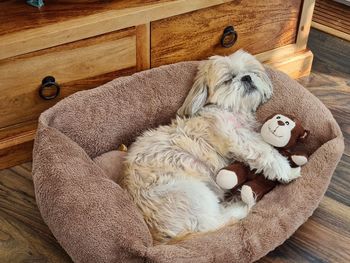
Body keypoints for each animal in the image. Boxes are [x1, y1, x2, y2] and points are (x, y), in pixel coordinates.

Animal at [120, 49, 300, 243]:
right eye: (228, 79)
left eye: (252, 72)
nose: (247, 78)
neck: (231, 110)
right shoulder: (237, 138)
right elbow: (266, 152)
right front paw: (289, 171)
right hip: (194, 194)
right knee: (216, 222)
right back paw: (241, 204)